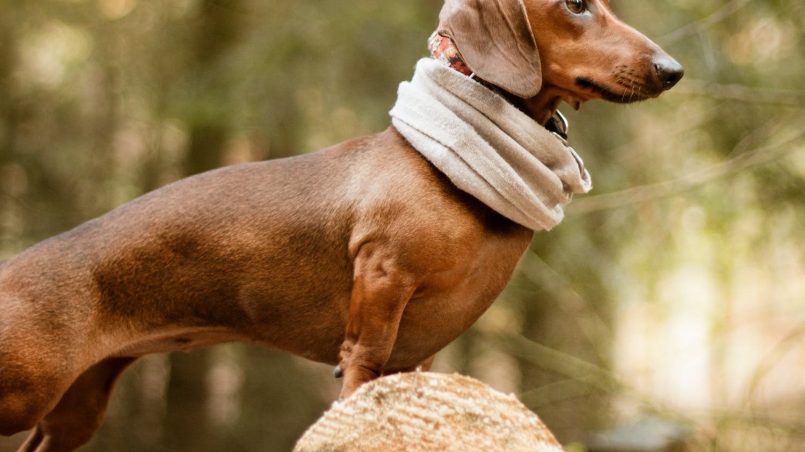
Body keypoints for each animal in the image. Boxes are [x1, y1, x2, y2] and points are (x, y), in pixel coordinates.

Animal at [1, 0, 680, 448]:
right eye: (575, 2)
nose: (672, 69)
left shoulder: (421, 354)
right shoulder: (382, 280)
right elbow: (363, 364)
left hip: (74, 411)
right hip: (24, 394)